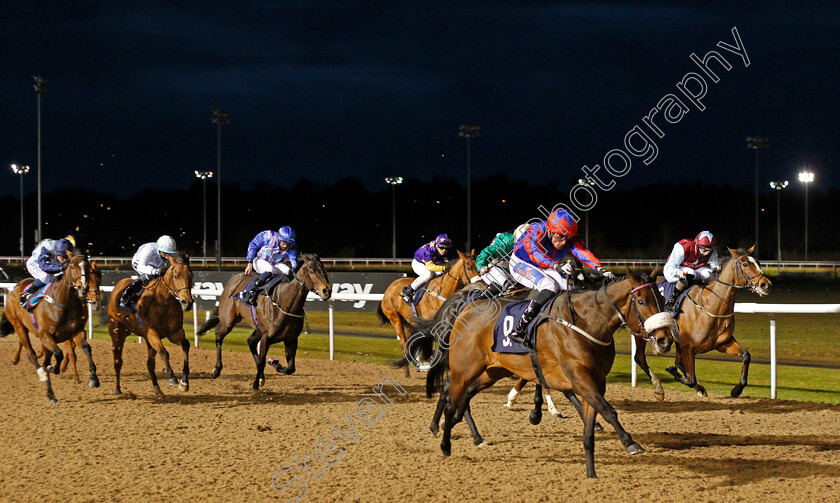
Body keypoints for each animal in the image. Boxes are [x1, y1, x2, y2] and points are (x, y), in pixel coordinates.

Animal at [0, 254, 98, 404]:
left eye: (87, 267)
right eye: (72, 266)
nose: (83, 288)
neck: (64, 302)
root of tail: (14, 288)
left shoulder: (76, 332)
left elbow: (86, 348)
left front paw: (93, 378)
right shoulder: (46, 335)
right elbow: (59, 354)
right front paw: (54, 369)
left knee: (43, 359)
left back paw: (50, 394)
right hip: (19, 326)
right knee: (31, 354)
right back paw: (40, 373)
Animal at [106, 252, 194, 398]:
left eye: (191, 276)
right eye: (176, 276)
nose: (187, 303)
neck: (163, 302)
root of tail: (118, 286)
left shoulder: (174, 332)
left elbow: (185, 345)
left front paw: (184, 383)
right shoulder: (151, 332)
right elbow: (164, 352)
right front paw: (172, 377)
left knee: (149, 364)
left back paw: (157, 389)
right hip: (117, 333)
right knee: (117, 361)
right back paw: (117, 389)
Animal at [195, 254, 330, 392]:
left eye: (324, 270)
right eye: (311, 271)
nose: (327, 290)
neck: (285, 303)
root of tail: (233, 279)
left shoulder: (291, 338)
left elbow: (290, 368)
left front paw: (274, 363)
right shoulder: (266, 337)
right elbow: (261, 361)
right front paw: (256, 383)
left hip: (258, 328)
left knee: (250, 341)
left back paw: (261, 376)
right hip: (228, 320)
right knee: (219, 336)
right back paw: (217, 370)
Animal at [420, 270, 676, 478]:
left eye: (662, 299)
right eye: (641, 301)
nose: (664, 339)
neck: (585, 323)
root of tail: (464, 309)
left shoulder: (594, 380)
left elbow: (591, 417)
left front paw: (591, 471)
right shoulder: (577, 376)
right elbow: (607, 410)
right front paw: (630, 442)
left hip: (492, 371)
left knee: (461, 394)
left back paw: (458, 429)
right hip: (465, 369)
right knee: (452, 398)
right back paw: (446, 443)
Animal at [632, 246, 772, 400]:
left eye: (758, 262)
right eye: (745, 264)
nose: (765, 284)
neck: (709, 305)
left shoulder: (723, 343)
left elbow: (746, 356)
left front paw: (736, 390)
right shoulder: (688, 346)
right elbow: (690, 378)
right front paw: (676, 373)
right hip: (641, 332)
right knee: (640, 357)